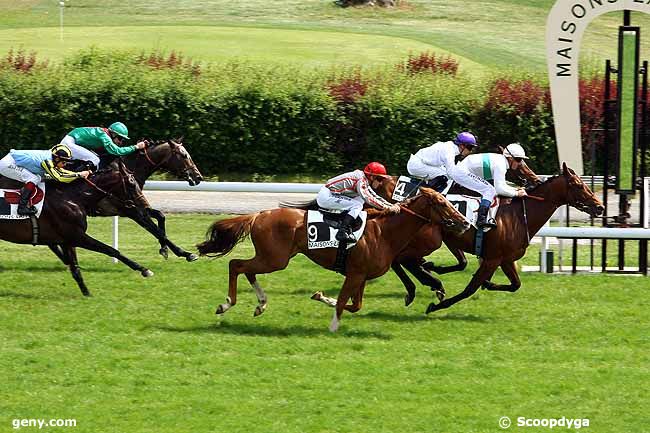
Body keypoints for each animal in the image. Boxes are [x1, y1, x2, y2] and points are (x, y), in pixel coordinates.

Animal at [0, 160, 154, 296]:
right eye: (131, 184)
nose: (145, 205)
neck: (72, 198)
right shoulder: (77, 236)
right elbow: (112, 250)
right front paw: (144, 269)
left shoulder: (67, 241)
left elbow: (75, 269)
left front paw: (87, 293)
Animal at [195, 188, 468, 330]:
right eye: (442, 203)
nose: (465, 223)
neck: (384, 232)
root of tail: (258, 214)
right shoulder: (355, 274)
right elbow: (343, 303)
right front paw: (333, 328)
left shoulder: (361, 276)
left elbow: (354, 305)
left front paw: (320, 296)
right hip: (275, 259)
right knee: (236, 265)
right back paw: (226, 304)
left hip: (271, 257)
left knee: (246, 269)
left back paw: (260, 304)